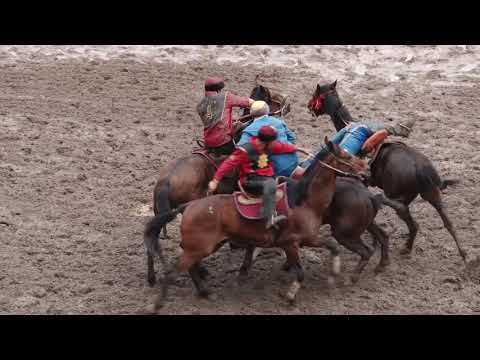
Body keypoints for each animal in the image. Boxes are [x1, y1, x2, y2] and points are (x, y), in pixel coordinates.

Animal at [144, 138, 370, 310]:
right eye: (347, 156)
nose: (366, 171)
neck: (304, 199)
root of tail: (188, 206)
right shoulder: (290, 243)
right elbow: (300, 273)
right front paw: (290, 296)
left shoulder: (309, 239)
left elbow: (332, 246)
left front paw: (333, 275)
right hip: (199, 247)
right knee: (173, 271)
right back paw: (158, 304)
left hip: (204, 246)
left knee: (186, 266)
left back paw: (204, 291)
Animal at [306, 81, 466, 262]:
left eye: (315, 93)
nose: (309, 106)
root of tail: (420, 167)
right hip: (432, 195)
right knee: (447, 223)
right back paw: (463, 255)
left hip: (400, 196)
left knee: (409, 219)